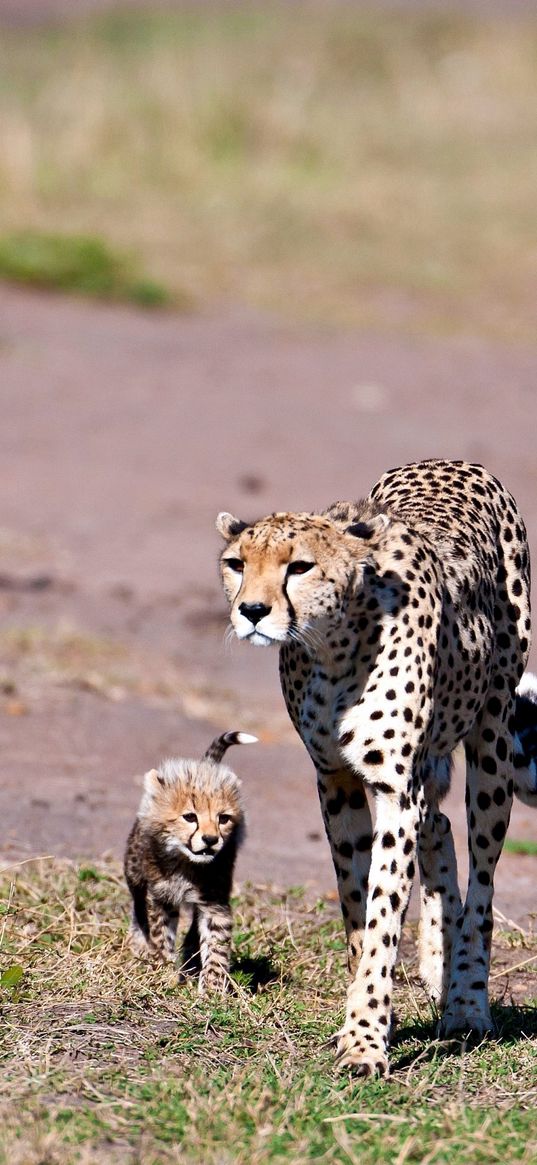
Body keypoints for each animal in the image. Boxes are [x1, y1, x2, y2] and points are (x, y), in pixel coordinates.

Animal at [215, 461, 533, 1071]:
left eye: (299, 566)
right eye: (237, 563)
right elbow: (357, 904)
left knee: (482, 880)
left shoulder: (393, 788)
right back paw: (438, 965)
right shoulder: (334, 779)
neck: (334, 647)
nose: (252, 611)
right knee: (441, 827)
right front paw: (366, 1018)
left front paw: (365, 1039)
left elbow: (384, 911)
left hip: (494, 740)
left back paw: (466, 1002)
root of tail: (453, 462)